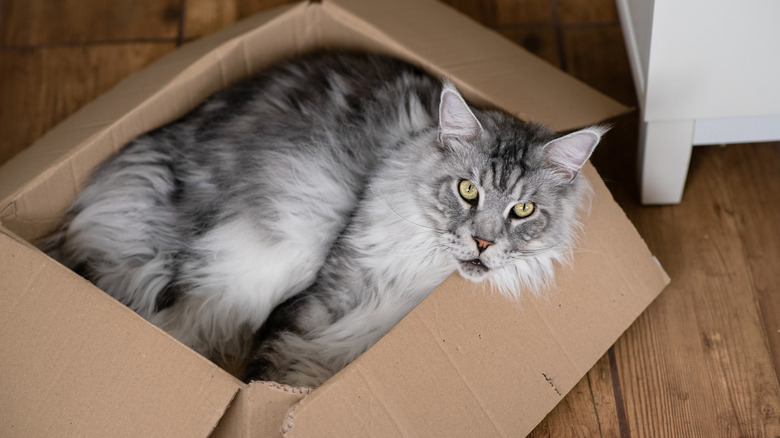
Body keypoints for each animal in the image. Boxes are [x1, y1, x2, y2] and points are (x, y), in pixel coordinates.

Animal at [39, 52, 608, 386]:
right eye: (468, 190)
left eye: (523, 209)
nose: (483, 243)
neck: (423, 275)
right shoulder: (323, 293)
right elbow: (274, 366)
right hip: (274, 249)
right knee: (176, 321)